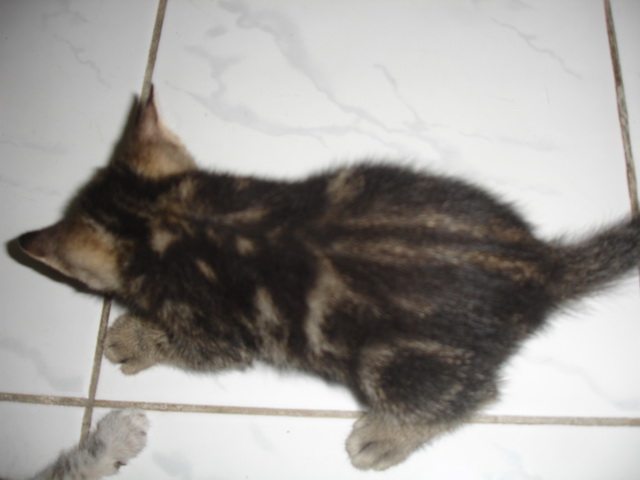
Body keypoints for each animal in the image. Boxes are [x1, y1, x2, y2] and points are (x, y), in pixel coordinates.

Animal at [17, 88, 640, 471]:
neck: (168, 215)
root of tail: (541, 266)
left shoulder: (220, 336)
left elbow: (185, 344)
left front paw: (136, 334)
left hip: (396, 363)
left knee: (476, 393)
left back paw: (387, 435)